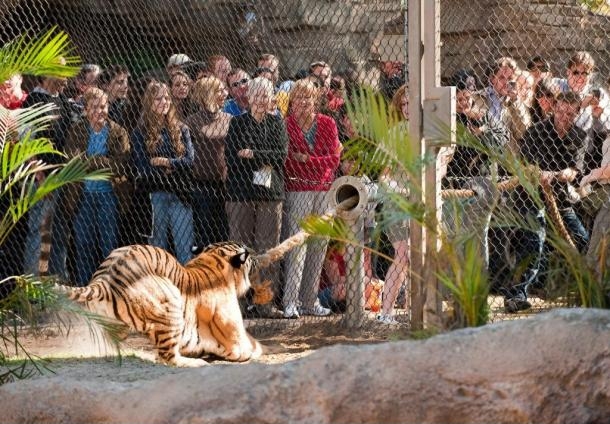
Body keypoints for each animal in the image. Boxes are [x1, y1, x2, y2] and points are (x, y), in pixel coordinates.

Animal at [57, 242, 264, 368]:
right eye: (248, 255)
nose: (255, 254)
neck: (213, 260)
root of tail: (105, 279)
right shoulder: (236, 340)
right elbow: (250, 347)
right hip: (172, 304)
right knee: (168, 356)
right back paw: (195, 362)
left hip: (112, 324)